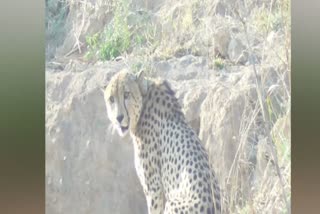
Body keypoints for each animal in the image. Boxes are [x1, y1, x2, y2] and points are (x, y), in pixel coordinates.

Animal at [101, 69, 221, 213]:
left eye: (126, 94)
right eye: (111, 99)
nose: (119, 118)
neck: (144, 102)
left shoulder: (154, 187)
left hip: (172, 204)